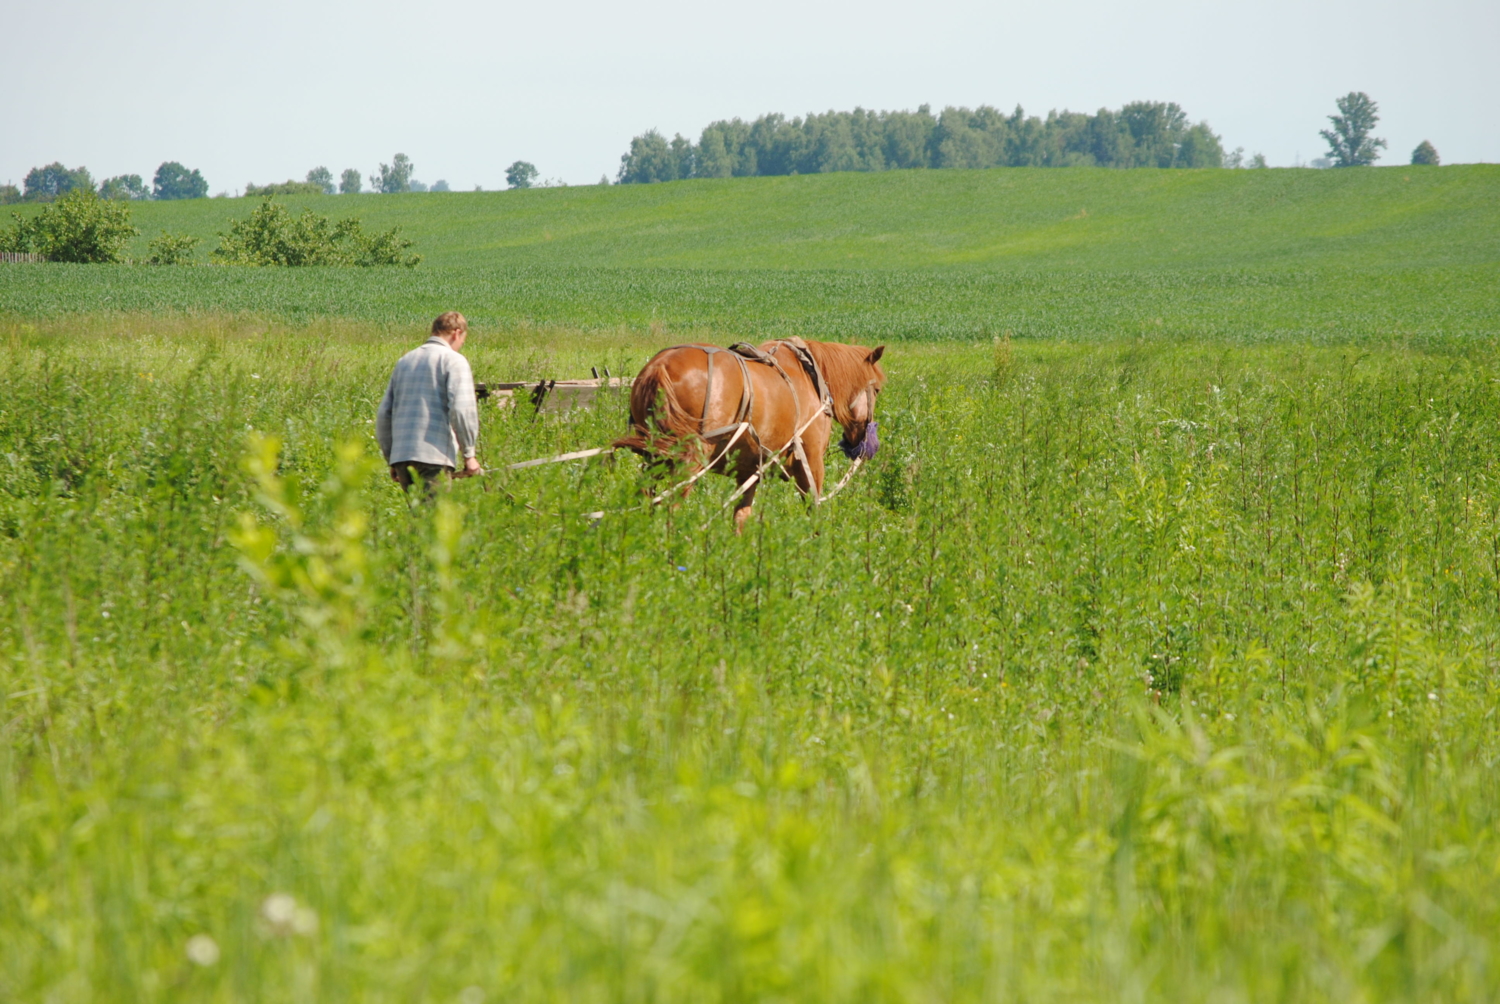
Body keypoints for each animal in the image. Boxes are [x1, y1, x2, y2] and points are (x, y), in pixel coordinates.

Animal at [615, 339, 882, 531]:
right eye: (877, 389)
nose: (862, 443)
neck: (811, 377)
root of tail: (660, 365)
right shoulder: (810, 461)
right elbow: (813, 509)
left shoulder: (749, 470)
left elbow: (741, 516)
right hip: (689, 460)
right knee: (671, 507)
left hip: (653, 458)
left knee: (645, 499)